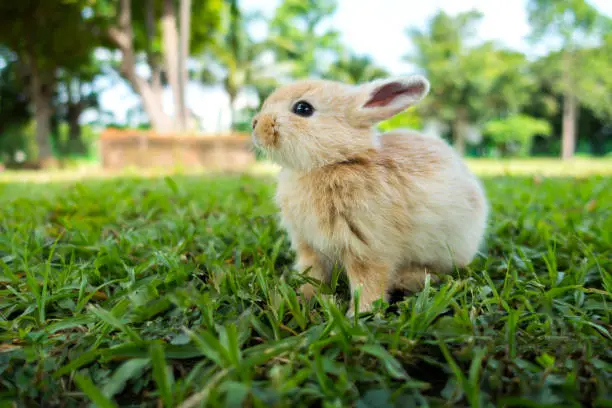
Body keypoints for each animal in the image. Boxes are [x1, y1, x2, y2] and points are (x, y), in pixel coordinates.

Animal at [249, 75, 488, 316]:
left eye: (303, 108)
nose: (255, 124)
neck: (337, 161)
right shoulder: (309, 247)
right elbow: (312, 276)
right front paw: (301, 299)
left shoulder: (368, 248)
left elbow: (368, 284)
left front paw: (359, 315)